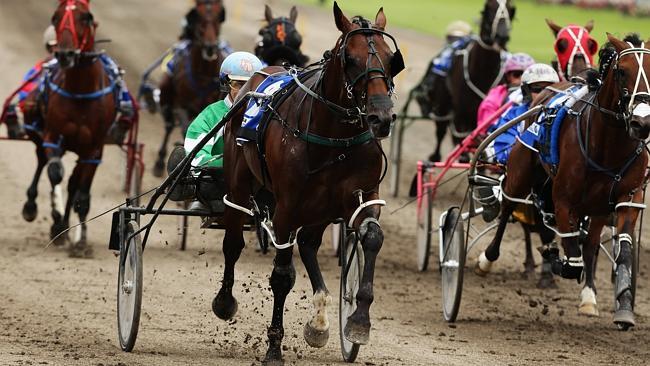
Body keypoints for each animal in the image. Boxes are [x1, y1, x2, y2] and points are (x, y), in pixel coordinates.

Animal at [22, 0, 117, 258]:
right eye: (55, 17)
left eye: (86, 17)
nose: (65, 54)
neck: (80, 93)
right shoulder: (53, 136)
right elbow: (55, 173)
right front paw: (56, 222)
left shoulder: (94, 149)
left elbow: (82, 194)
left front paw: (81, 242)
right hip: (41, 134)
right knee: (42, 162)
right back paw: (34, 207)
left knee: (74, 183)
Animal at [151, 0, 227, 177]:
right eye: (197, 15)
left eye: (219, 15)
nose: (210, 47)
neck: (203, 73)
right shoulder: (182, 105)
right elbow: (187, 127)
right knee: (169, 125)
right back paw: (160, 162)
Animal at [215, 2, 402, 364]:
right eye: (351, 59)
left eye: (391, 60)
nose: (381, 118)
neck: (334, 134)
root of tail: (260, 75)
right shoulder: (287, 207)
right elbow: (282, 276)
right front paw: (274, 346)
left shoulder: (363, 194)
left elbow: (372, 237)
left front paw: (358, 321)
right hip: (240, 182)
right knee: (233, 240)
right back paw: (225, 301)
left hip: (321, 208)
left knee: (308, 243)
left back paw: (319, 322)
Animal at [428, 0, 512, 162]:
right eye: (488, 9)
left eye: (512, 9)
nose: (502, 36)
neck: (482, 74)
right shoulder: (461, 115)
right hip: (443, 105)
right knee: (441, 131)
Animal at [476, 34, 648, 328]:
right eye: (623, 71)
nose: (642, 122)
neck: (609, 147)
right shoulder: (564, 199)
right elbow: (570, 260)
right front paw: (555, 259)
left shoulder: (627, 198)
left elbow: (621, 251)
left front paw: (624, 308)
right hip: (521, 170)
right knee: (508, 205)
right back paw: (488, 258)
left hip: (597, 206)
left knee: (590, 244)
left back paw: (588, 294)